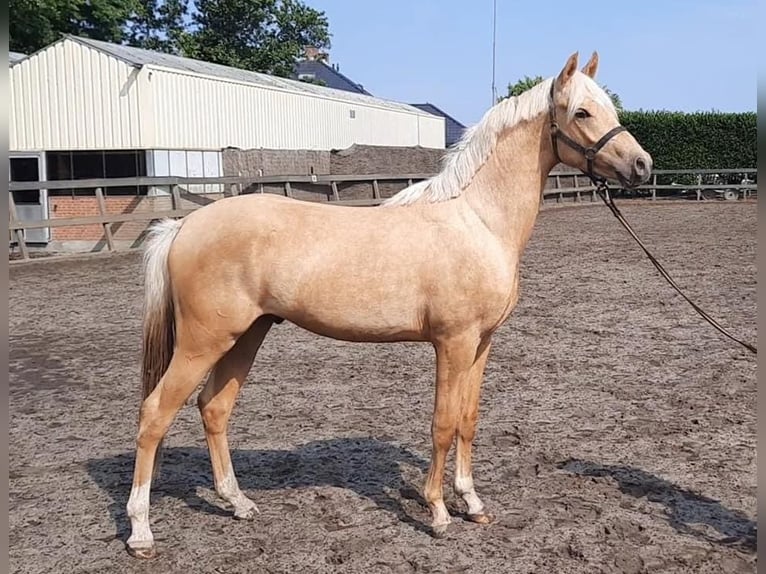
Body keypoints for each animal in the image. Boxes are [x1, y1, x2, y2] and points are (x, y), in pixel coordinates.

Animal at [126, 53, 656, 560]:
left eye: (609, 108)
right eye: (581, 112)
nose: (642, 165)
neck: (478, 220)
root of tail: (182, 226)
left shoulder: (481, 343)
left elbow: (468, 420)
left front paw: (473, 503)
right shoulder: (452, 343)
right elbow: (443, 423)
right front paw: (438, 512)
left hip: (246, 335)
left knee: (214, 409)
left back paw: (237, 503)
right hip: (203, 342)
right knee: (154, 416)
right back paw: (141, 532)